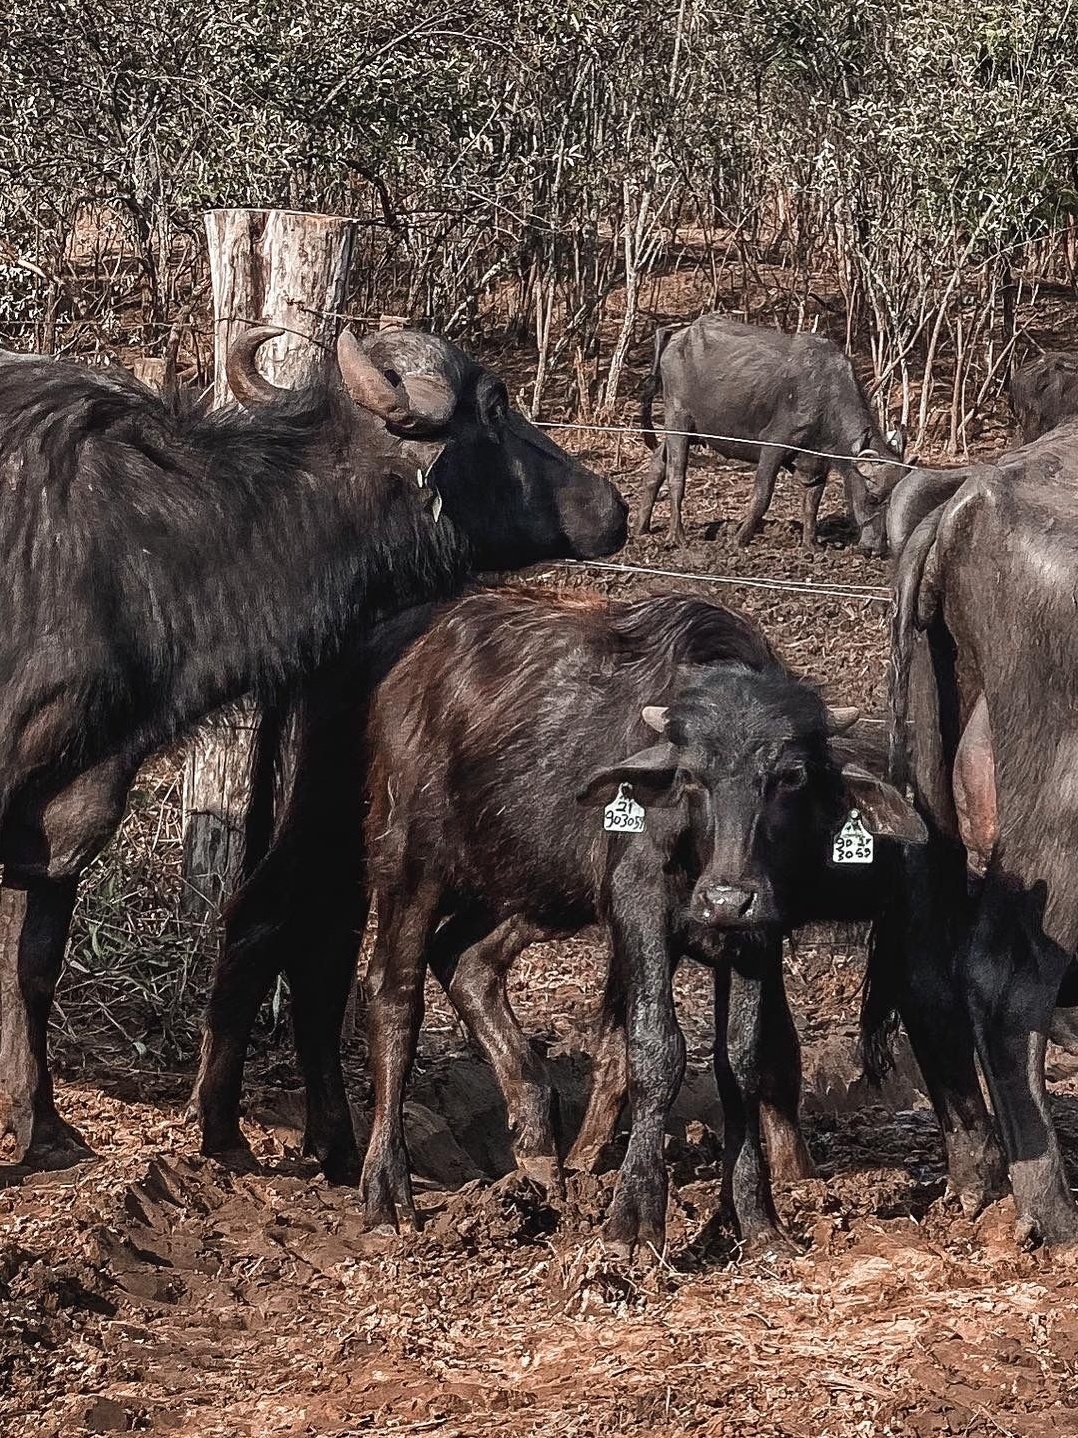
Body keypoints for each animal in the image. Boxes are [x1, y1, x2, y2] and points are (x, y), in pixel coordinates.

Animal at [0, 329, 629, 1167]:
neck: (137, 549)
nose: (612, 506)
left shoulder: (70, 806)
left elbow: (33, 967)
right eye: (494, 407)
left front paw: (42, 1125)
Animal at [638, 317, 908, 552]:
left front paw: (811, 544)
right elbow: (762, 495)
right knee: (676, 475)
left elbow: (812, 501)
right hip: (678, 419)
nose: (876, 548)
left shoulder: (818, 462)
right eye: (873, 497)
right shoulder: (773, 447)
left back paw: (642, 527)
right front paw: (739, 539)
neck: (826, 396)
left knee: (657, 465)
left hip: (691, 429)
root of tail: (678, 336)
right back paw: (677, 536)